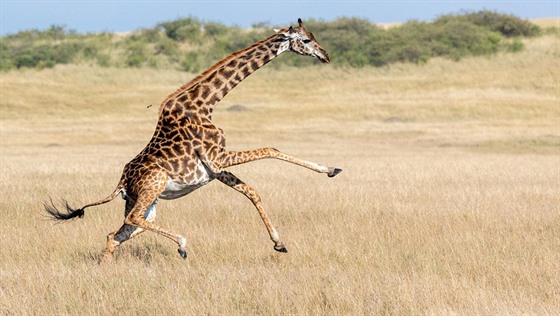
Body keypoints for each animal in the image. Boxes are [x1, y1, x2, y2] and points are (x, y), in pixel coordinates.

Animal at [46, 18, 342, 262]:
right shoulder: (218, 157)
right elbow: (271, 148)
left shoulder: (215, 168)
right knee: (130, 222)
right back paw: (182, 244)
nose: (325, 55)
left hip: (146, 201)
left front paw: (279, 243)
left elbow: (251, 191)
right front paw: (329, 169)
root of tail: (121, 182)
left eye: (313, 36)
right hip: (153, 186)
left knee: (116, 235)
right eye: (305, 40)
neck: (205, 104)